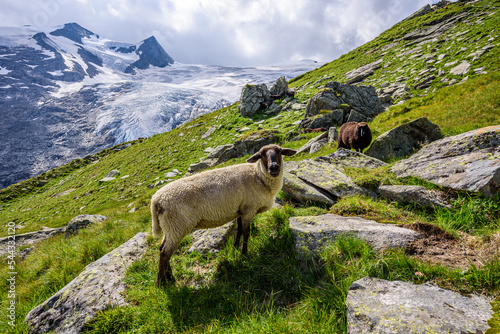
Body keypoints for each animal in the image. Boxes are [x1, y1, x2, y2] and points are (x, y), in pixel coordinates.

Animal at [150, 143, 294, 284]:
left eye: (279, 151)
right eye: (261, 154)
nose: (274, 167)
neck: (258, 177)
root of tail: (156, 200)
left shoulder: (240, 210)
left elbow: (239, 230)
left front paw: (235, 248)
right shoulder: (249, 209)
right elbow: (246, 233)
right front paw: (244, 253)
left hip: (170, 227)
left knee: (161, 248)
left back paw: (169, 278)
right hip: (177, 226)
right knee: (165, 253)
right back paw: (162, 282)